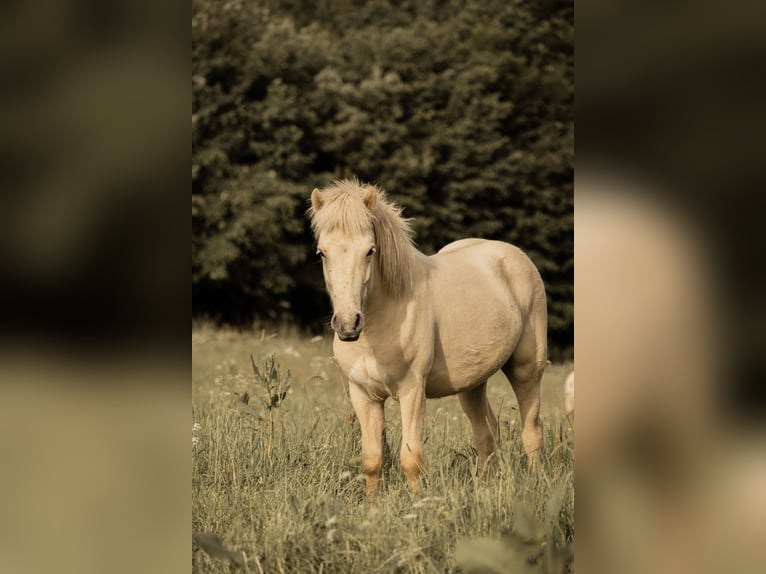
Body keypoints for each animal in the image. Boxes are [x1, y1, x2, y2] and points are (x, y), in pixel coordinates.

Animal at [308, 181, 548, 500]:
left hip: (527, 370)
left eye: (370, 251)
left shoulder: (412, 391)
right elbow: (372, 458)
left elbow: (411, 457)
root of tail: (515, 257)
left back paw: (534, 485)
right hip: (471, 384)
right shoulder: (363, 394)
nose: (348, 324)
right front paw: (372, 504)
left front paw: (416, 503)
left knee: (531, 431)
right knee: (486, 433)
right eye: (322, 253)